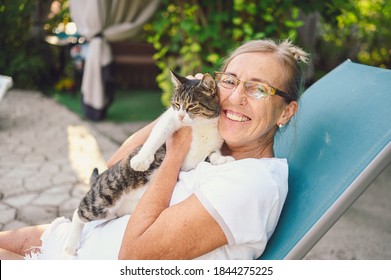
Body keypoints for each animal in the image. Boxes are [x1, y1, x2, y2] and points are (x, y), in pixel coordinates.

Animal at [64, 71, 234, 255]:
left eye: (192, 105)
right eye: (176, 104)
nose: (181, 116)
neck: (201, 127)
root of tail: (100, 178)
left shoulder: (205, 151)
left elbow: (211, 155)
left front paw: (224, 159)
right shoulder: (170, 120)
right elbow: (157, 134)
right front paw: (141, 160)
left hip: (109, 212)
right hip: (104, 195)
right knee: (79, 212)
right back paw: (70, 244)